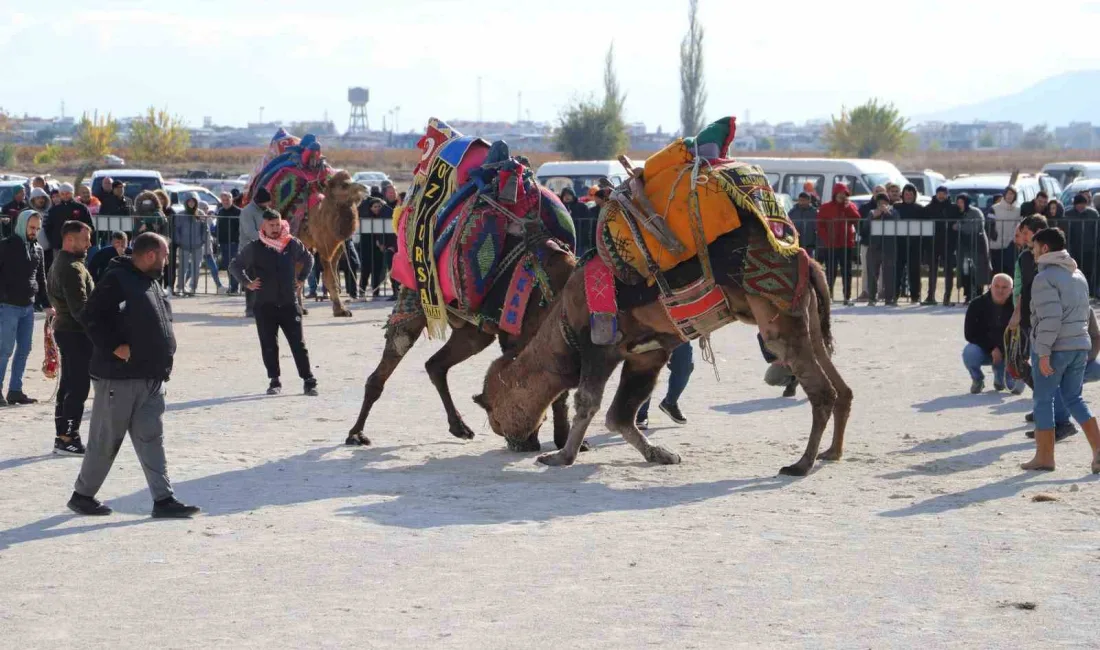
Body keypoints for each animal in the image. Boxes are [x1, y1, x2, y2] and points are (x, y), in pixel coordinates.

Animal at [297, 170, 369, 318]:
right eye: (344, 185)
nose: (365, 188)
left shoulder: (336, 246)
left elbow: (333, 278)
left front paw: (340, 309)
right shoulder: (323, 246)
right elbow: (329, 278)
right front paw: (340, 309)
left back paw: (301, 308)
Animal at [473, 221, 849, 481]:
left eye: (493, 413)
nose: (512, 440)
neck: (564, 320)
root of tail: (807, 260)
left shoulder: (599, 348)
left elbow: (589, 403)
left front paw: (560, 457)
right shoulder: (646, 354)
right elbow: (619, 415)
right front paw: (661, 454)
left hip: (779, 320)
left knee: (822, 391)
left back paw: (800, 464)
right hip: (809, 320)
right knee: (840, 386)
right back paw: (831, 453)